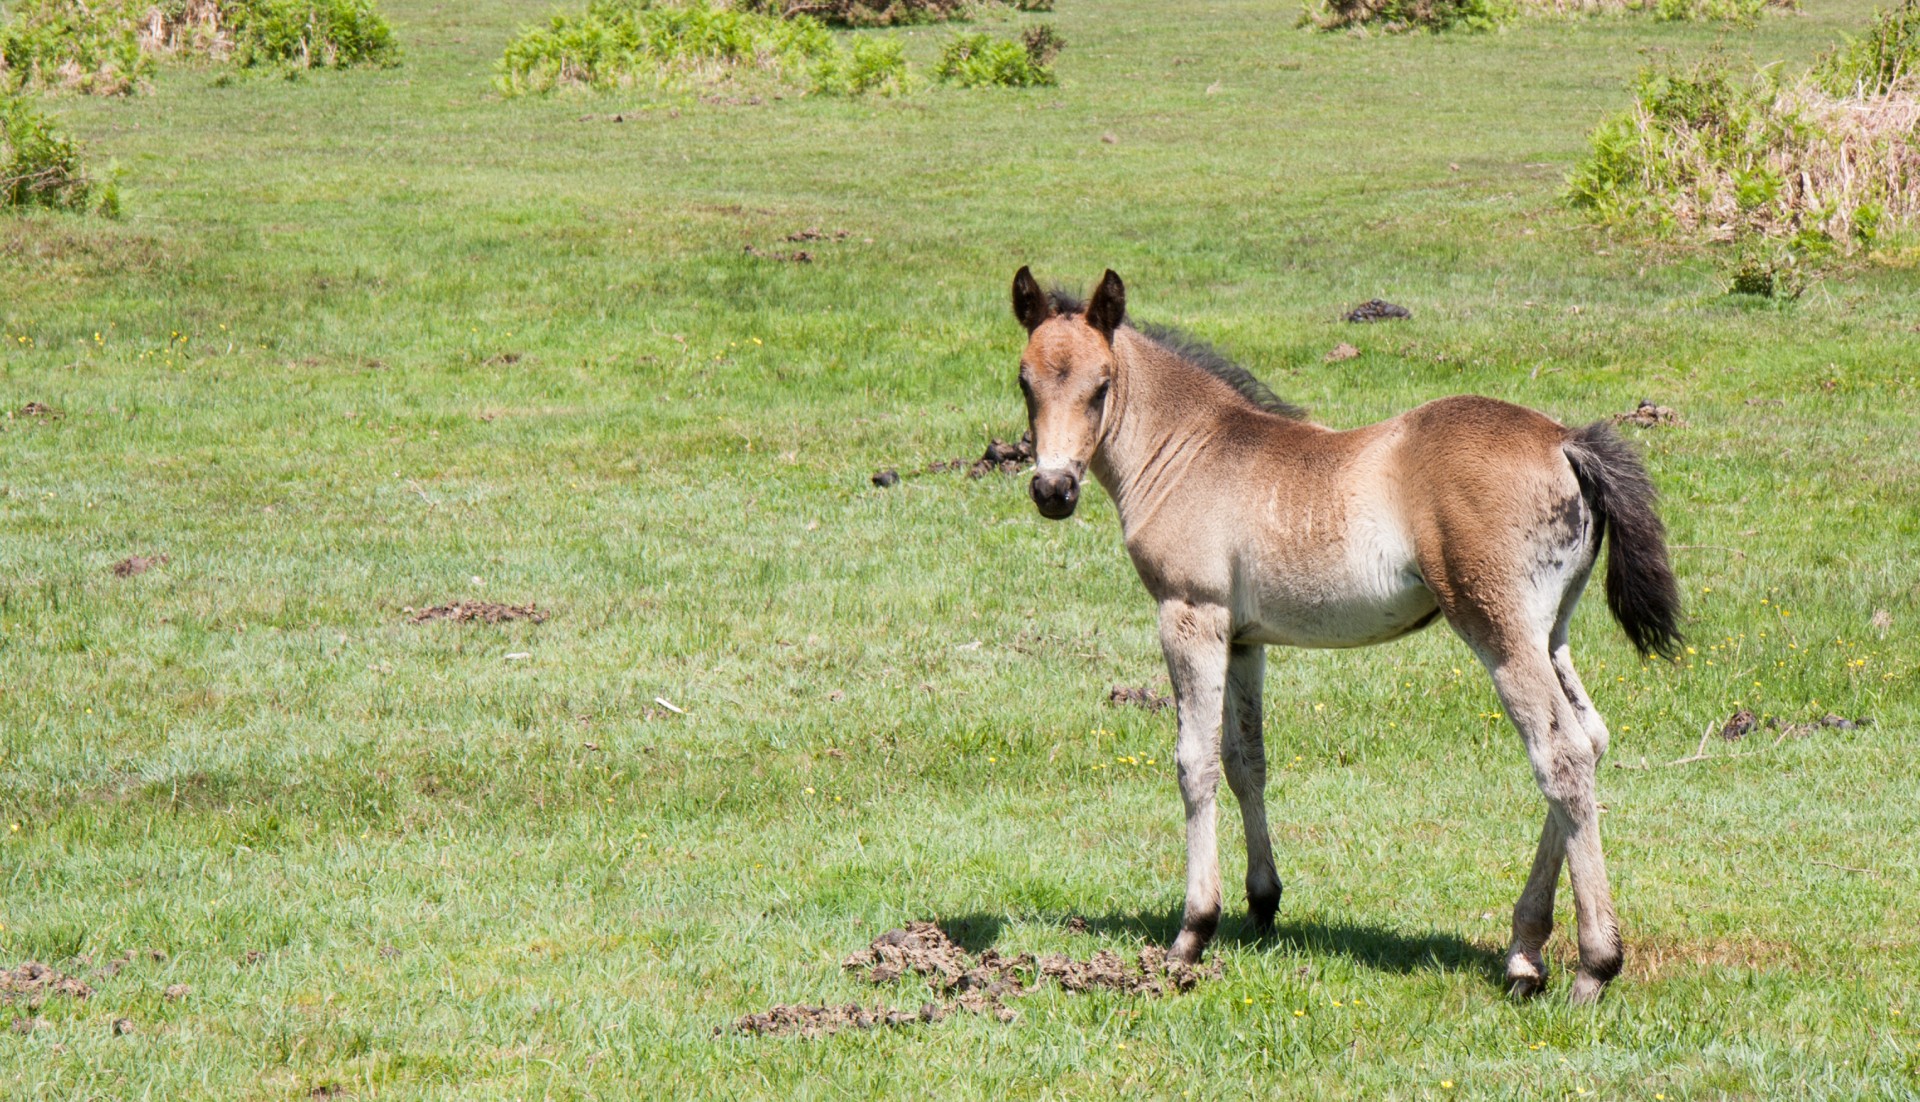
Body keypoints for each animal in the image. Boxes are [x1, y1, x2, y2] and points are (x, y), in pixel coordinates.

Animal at [1013, 270, 1674, 1013]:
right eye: (1025, 381)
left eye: (1101, 385)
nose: (1052, 489)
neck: (1191, 449)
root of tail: (1565, 440)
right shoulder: (1245, 640)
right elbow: (1247, 761)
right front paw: (1263, 903)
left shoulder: (1190, 614)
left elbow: (1195, 762)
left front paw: (1193, 931)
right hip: (1549, 634)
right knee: (1590, 739)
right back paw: (1524, 953)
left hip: (1498, 630)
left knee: (1559, 756)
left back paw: (1594, 964)